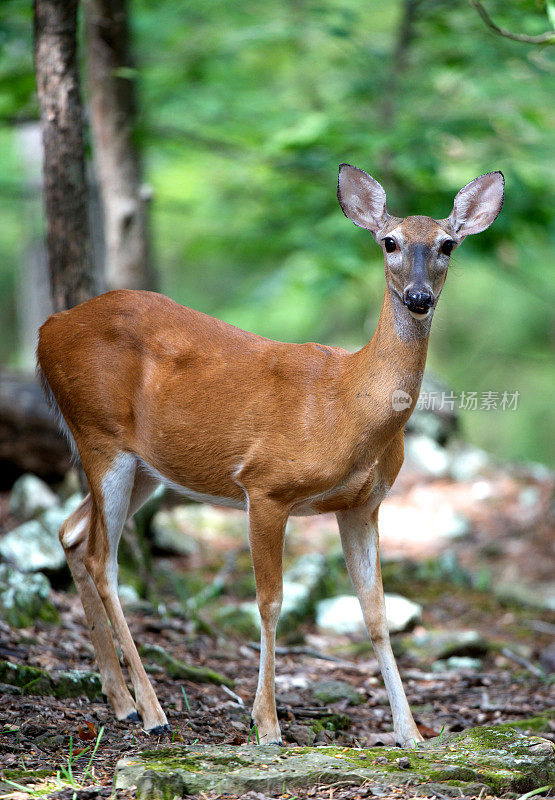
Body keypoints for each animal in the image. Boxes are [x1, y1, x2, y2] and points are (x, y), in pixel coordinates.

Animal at [34, 166, 504, 748]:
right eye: (390, 242)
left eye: (447, 244)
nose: (417, 297)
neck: (350, 406)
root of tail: (47, 330)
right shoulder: (265, 486)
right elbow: (270, 602)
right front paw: (268, 724)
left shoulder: (362, 504)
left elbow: (376, 612)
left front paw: (410, 733)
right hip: (99, 434)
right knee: (104, 558)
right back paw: (152, 710)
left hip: (146, 464)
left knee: (72, 533)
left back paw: (119, 701)